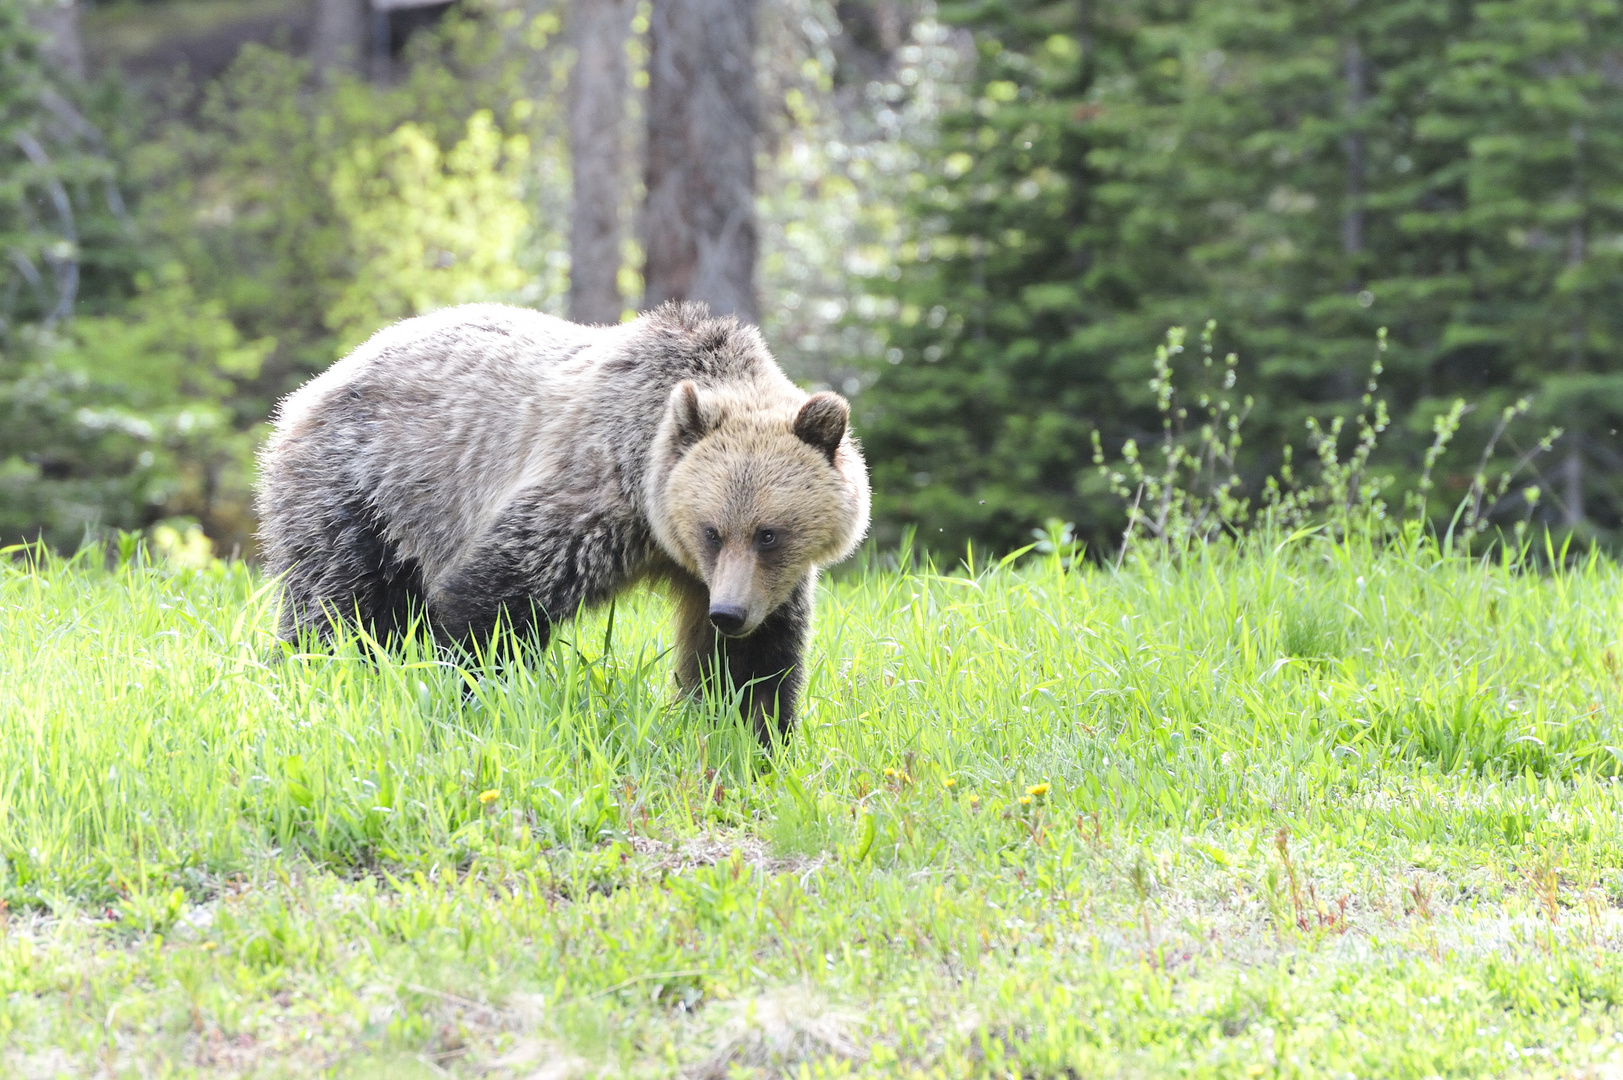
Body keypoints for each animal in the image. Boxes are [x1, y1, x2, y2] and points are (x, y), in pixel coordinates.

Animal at [254, 301, 870, 743]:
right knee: (339, 605)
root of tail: (313, 387)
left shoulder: (754, 583)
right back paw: (312, 673)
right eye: (712, 530)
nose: (729, 613)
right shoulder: (589, 501)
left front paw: (754, 737)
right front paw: (470, 694)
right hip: (365, 488)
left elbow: (752, 664)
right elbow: (498, 604)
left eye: (769, 533)